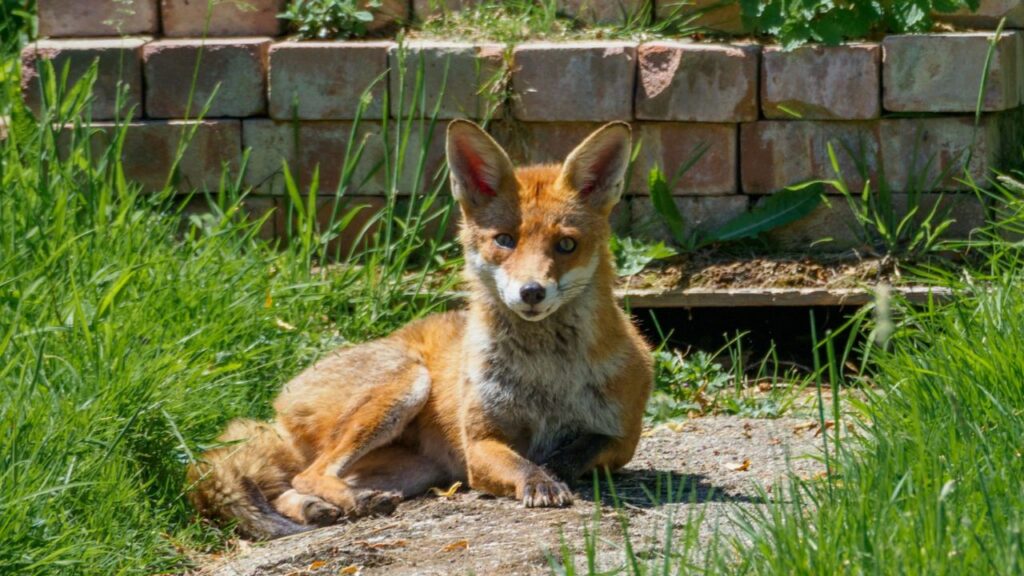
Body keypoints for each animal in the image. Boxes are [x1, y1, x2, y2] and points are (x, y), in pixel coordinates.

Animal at [187, 120, 654, 539]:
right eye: (505, 240)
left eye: (566, 245)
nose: (532, 292)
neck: (546, 378)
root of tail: (278, 405)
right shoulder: (479, 443)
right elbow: (523, 463)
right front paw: (539, 480)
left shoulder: (621, 437)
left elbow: (577, 450)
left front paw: (553, 469)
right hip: (406, 383)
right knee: (309, 473)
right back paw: (353, 502)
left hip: (416, 468)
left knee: (292, 483)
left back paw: (319, 508)